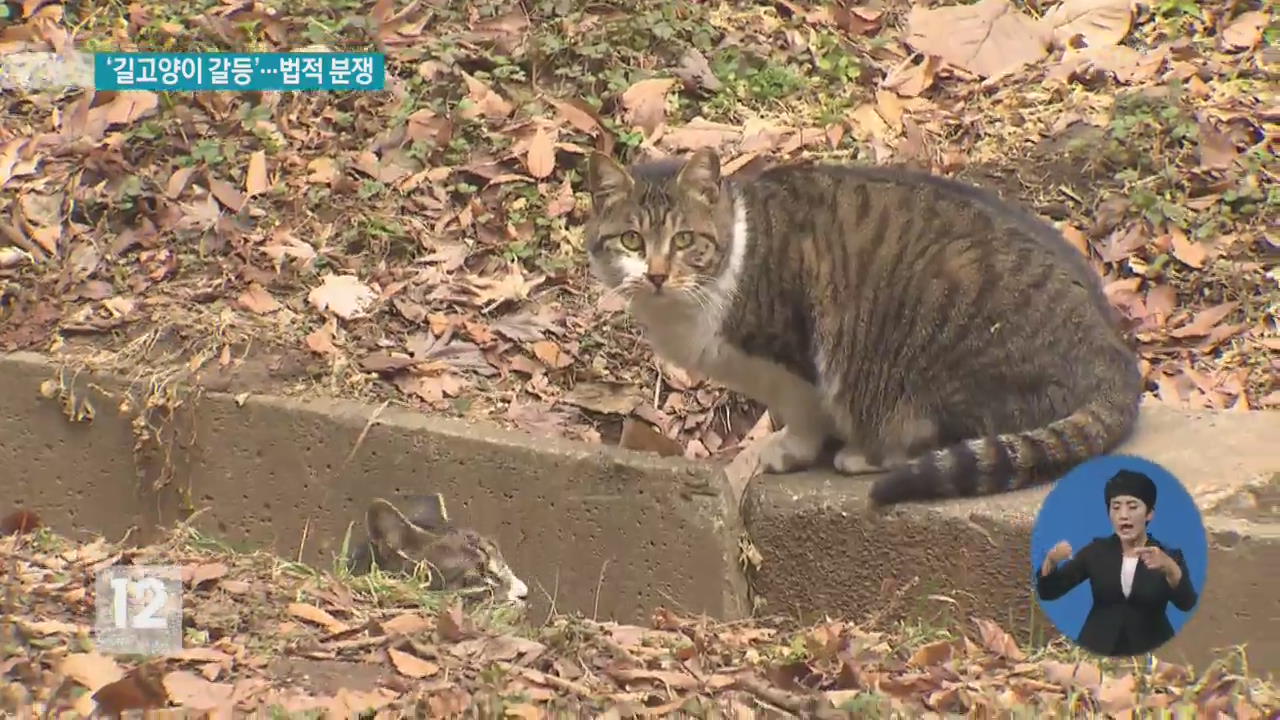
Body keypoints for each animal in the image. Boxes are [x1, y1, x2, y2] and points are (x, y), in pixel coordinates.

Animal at [586, 146, 1141, 504]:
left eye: (684, 240)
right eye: (632, 241)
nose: (657, 275)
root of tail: (1114, 356)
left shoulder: (795, 358)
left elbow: (802, 412)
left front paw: (787, 449)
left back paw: (862, 453)